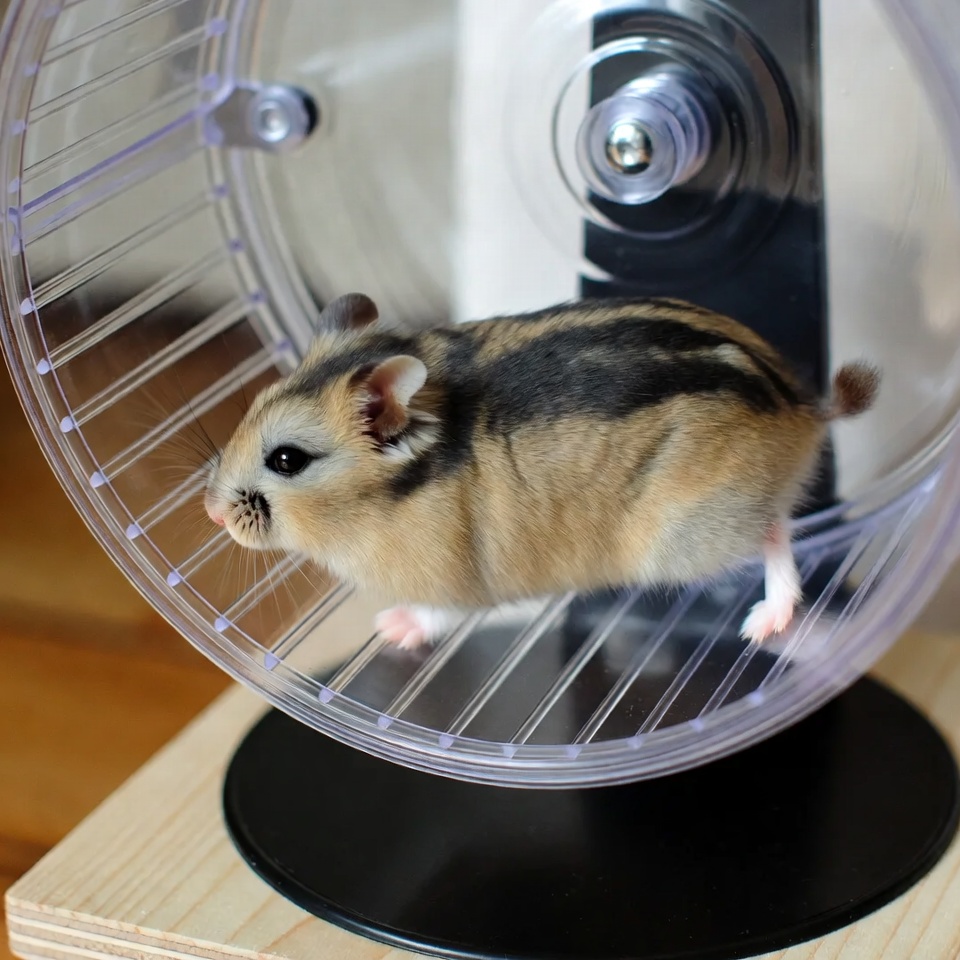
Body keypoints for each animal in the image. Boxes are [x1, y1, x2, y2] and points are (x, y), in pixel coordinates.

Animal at [204, 293, 879, 649]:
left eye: (287, 460)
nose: (210, 512)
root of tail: (804, 405)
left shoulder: (453, 584)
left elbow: (434, 615)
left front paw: (389, 626)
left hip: (685, 538)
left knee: (777, 532)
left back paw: (764, 623)